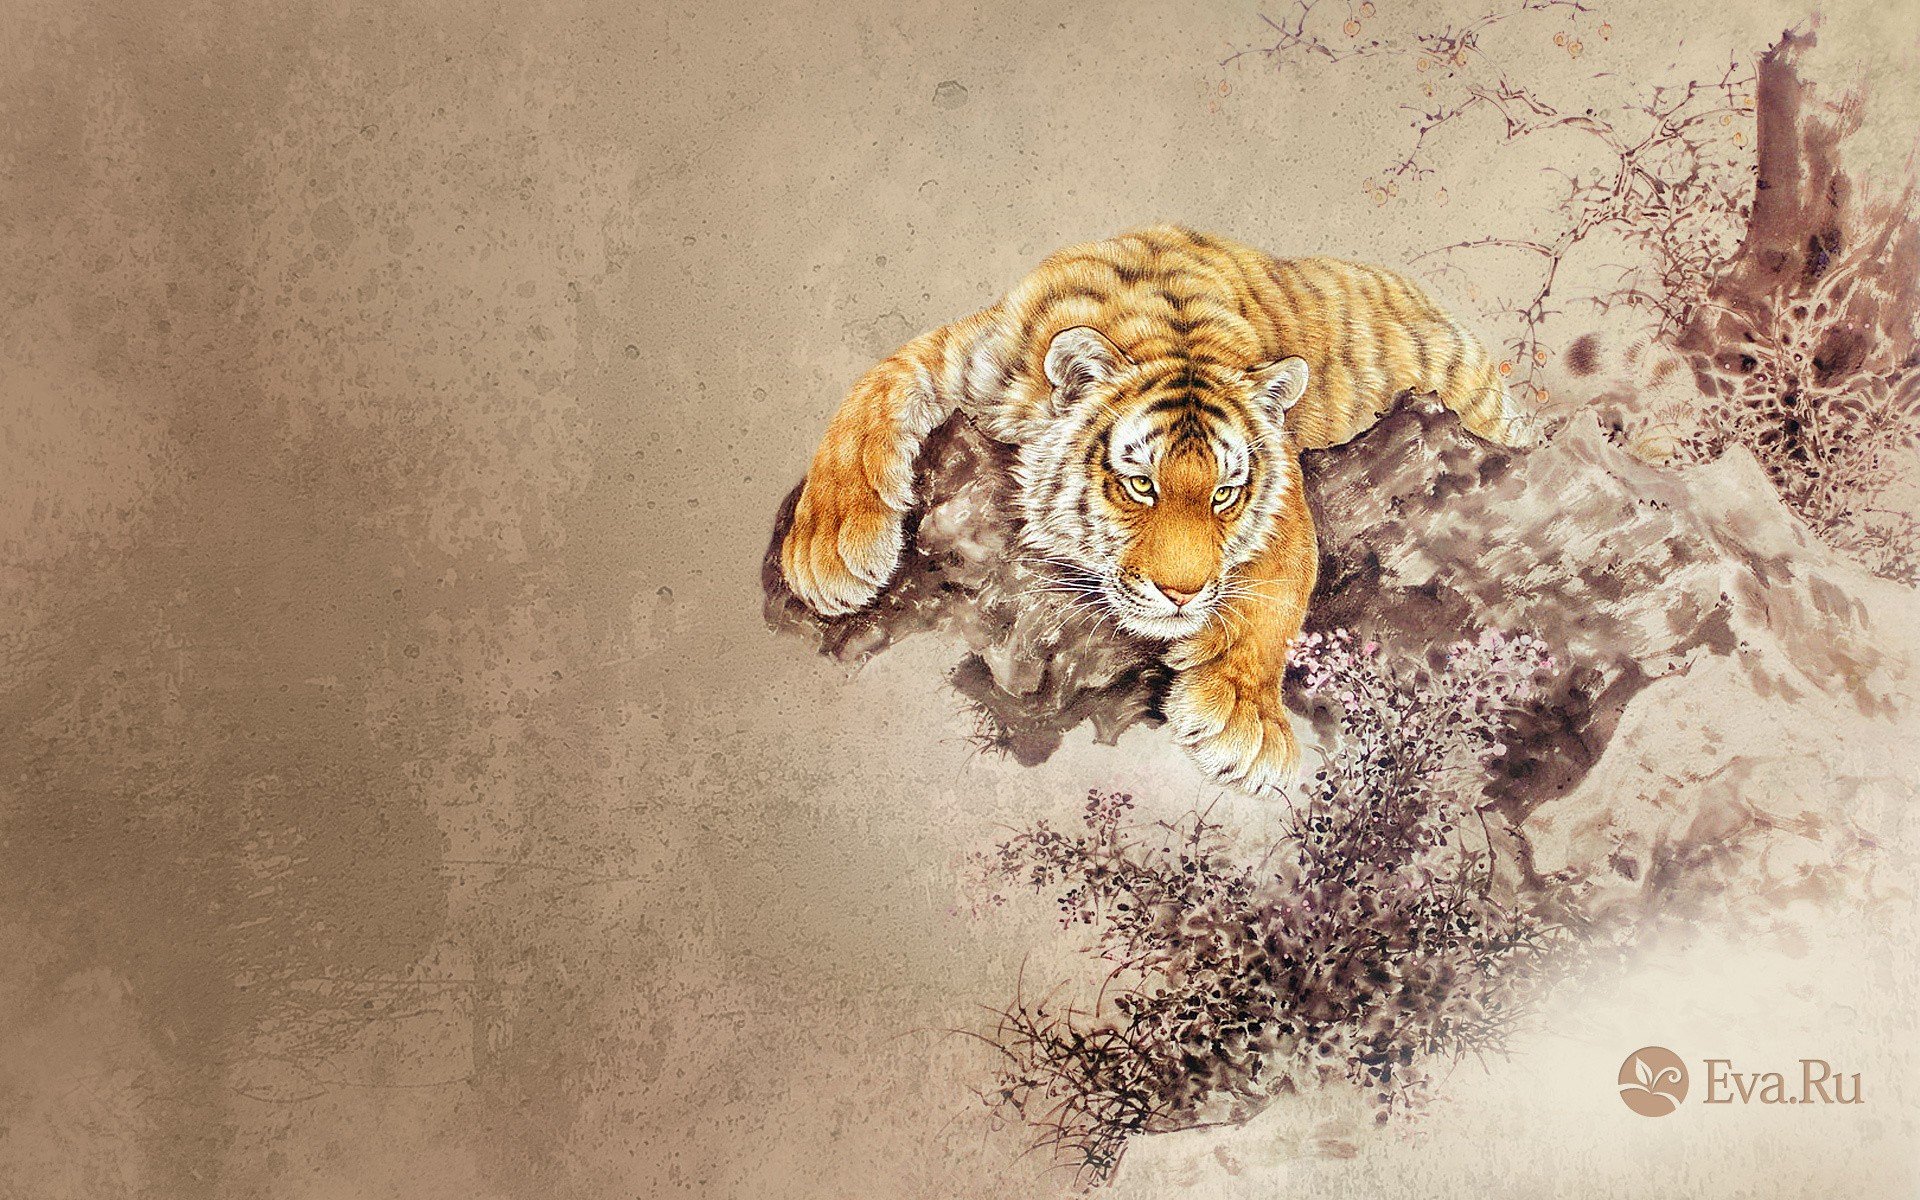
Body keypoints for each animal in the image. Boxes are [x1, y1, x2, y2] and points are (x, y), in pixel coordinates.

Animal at [780, 225, 1531, 793]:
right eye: (1141, 486)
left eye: (1225, 494)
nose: (1182, 593)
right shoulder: (965, 354)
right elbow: (868, 397)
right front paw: (826, 550)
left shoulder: (1283, 479)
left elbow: (1280, 585)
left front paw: (1243, 719)